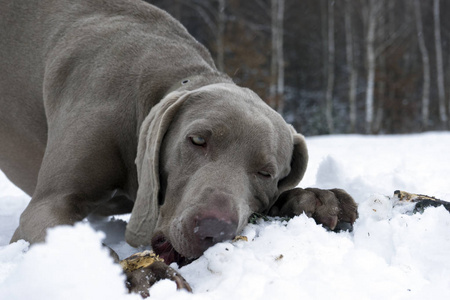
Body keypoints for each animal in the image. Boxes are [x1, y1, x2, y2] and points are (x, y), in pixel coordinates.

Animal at [0, 0, 358, 296]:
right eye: (197, 140)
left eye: (266, 173)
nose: (213, 230)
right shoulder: (49, 204)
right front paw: (143, 274)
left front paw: (317, 199)